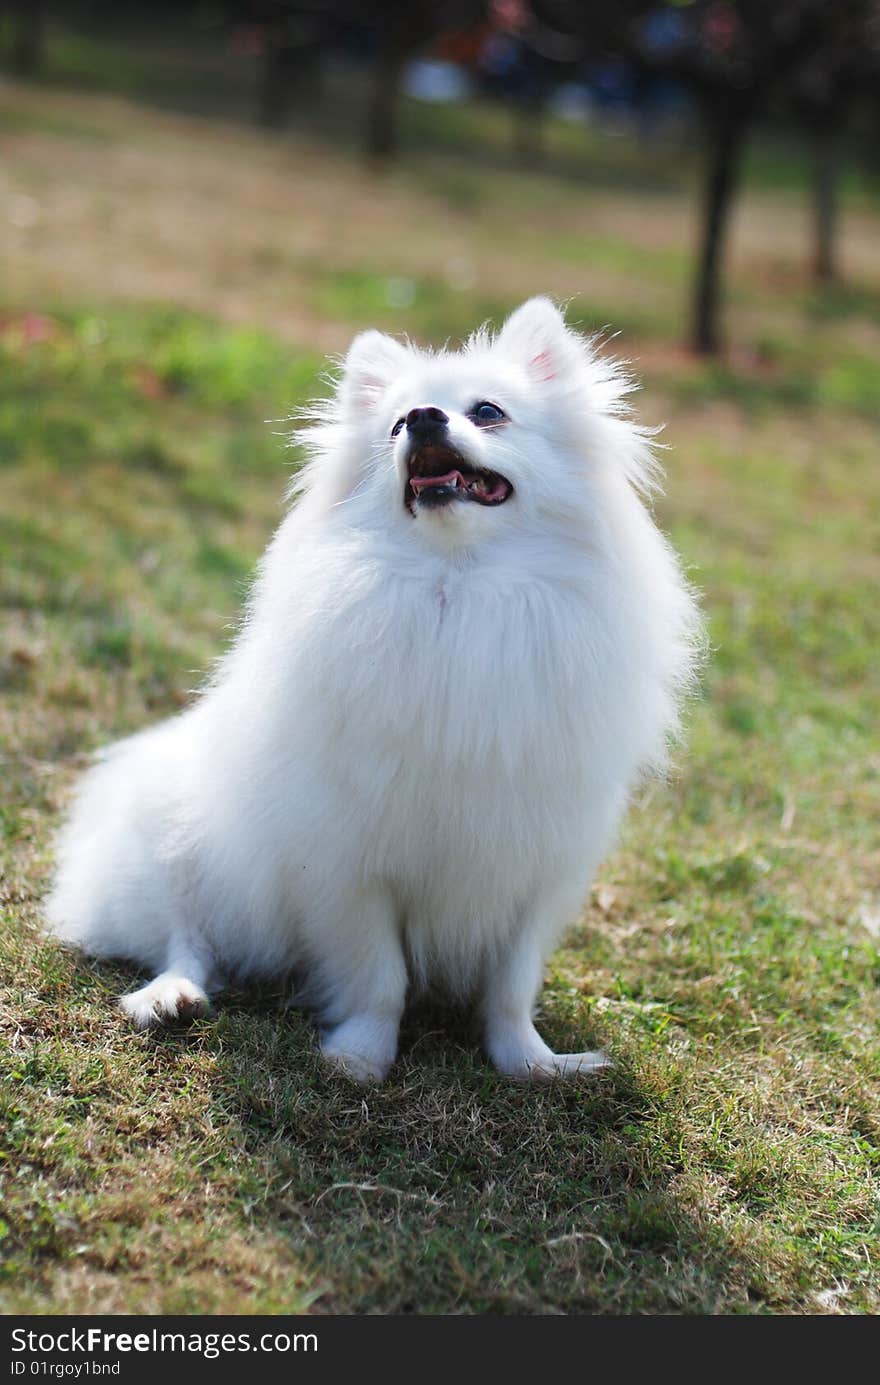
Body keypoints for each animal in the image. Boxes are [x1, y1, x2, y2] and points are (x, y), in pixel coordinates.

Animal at [46, 300, 701, 1080]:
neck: (462, 589)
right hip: (182, 843)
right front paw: (359, 1059)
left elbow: (511, 987)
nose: (421, 418)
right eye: (394, 426)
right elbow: (379, 975)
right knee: (186, 937)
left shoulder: (536, 864)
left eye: (488, 412)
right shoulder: (349, 863)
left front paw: (531, 1064)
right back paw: (169, 996)